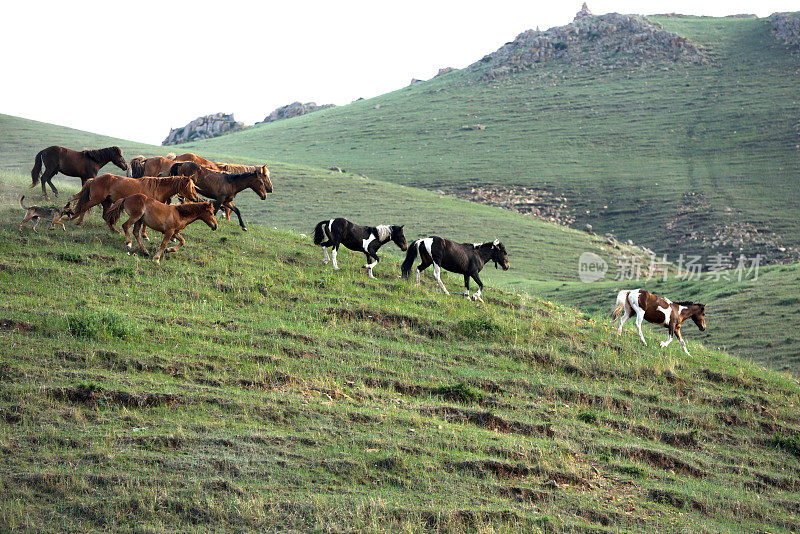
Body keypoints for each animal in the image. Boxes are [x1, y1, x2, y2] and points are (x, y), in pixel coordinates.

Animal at [67, 175, 202, 231]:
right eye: (190, 186)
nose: (196, 198)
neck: (157, 189)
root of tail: (94, 179)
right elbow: (145, 225)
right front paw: (145, 236)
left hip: (106, 202)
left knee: (105, 216)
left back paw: (113, 230)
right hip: (97, 199)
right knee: (84, 207)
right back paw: (79, 223)